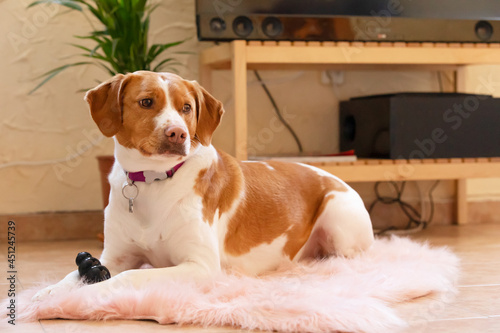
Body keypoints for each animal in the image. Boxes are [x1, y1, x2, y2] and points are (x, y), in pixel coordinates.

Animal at [33, 71, 374, 300]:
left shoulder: (200, 265)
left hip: (338, 216)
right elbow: (73, 274)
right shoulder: (115, 256)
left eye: (187, 108)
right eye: (146, 102)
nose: (178, 133)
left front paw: (88, 294)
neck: (154, 181)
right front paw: (51, 292)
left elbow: (128, 277)